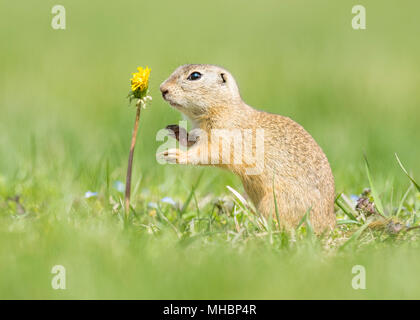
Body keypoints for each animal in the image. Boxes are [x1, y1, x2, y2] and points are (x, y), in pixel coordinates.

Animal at [159, 63, 336, 232]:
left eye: (195, 75)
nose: (162, 89)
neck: (225, 108)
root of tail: (329, 222)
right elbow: (192, 141)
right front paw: (175, 130)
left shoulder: (222, 136)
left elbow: (206, 152)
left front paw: (173, 154)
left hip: (273, 202)